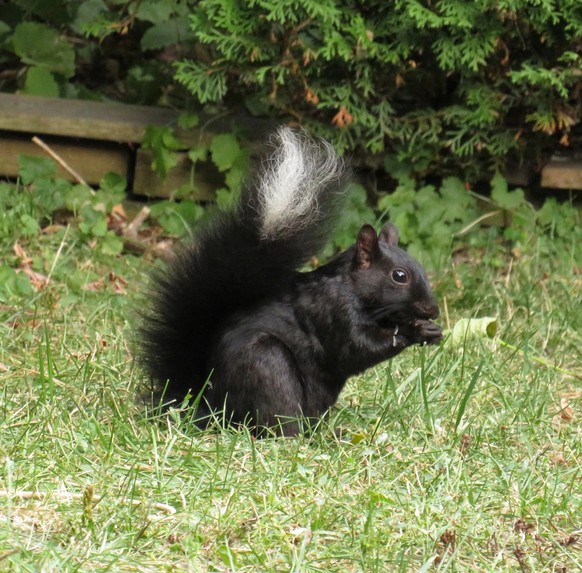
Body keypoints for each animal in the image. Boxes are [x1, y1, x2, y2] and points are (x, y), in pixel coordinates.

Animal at [141, 128, 442, 434]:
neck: (352, 287)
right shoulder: (332, 311)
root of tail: (209, 404)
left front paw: (430, 330)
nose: (432, 310)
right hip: (267, 364)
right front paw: (414, 331)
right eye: (399, 276)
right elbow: (357, 348)